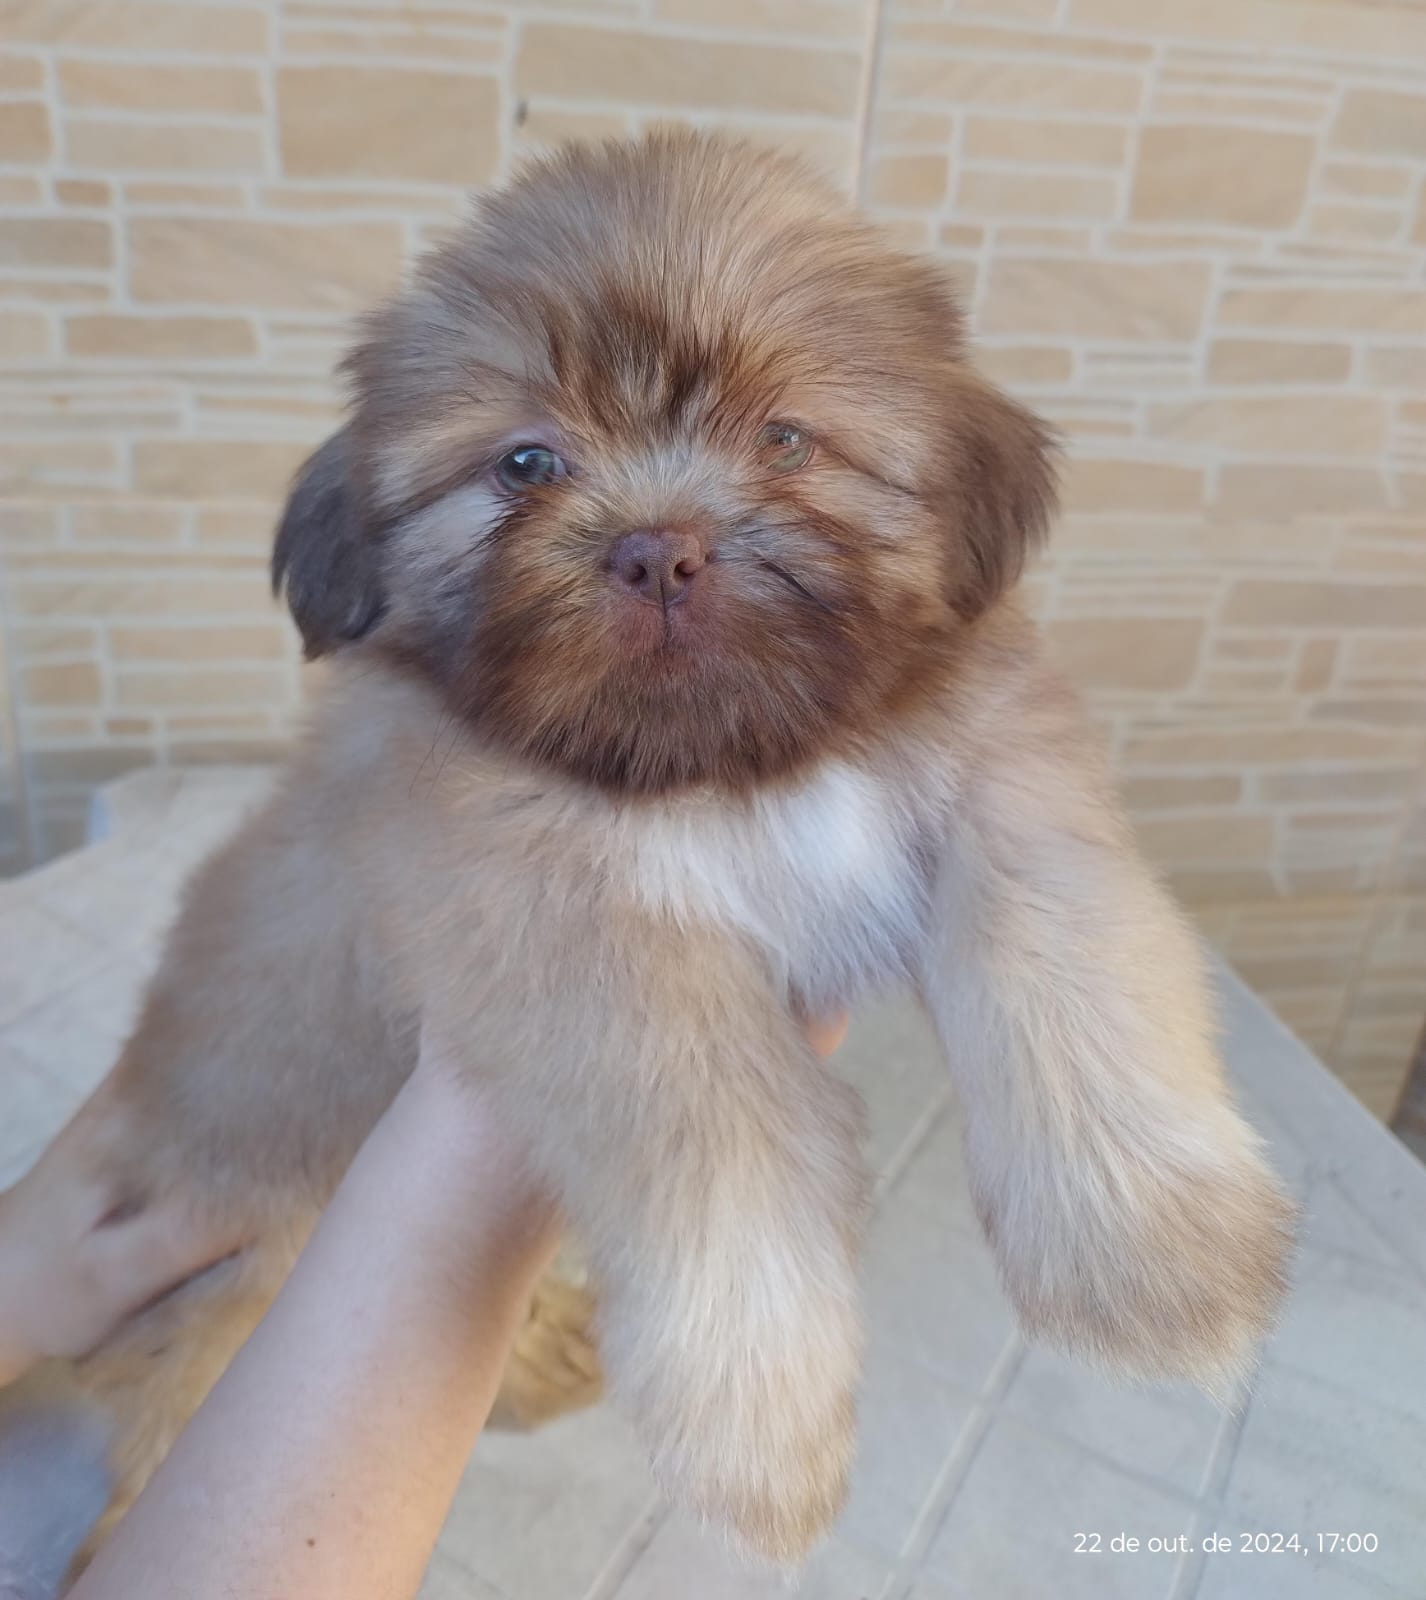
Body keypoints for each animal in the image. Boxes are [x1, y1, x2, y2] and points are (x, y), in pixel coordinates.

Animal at [0, 131, 1293, 1568]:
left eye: (785, 438)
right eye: (525, 465)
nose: (657, 548)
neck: (721, 774)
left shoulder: (1002, 775)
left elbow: (1061, 950)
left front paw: (1153, 1259)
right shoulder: (563, 930)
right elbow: (719, 1137)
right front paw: (759, 1415)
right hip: (241, 1276)